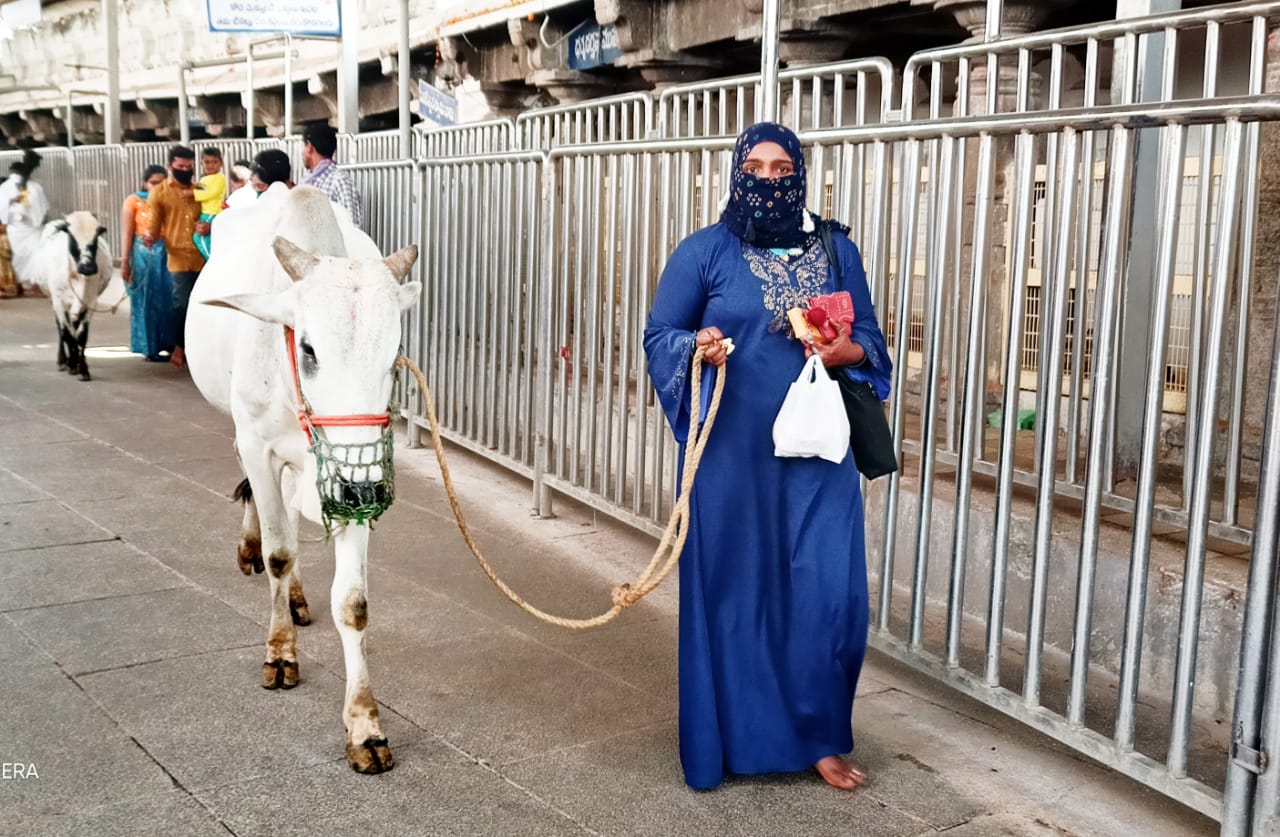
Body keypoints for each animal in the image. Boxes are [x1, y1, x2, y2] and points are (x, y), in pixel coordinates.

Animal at [34, 211, 111, 381]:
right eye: (71, 235)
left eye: (97, 234)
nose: (88, 267)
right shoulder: (58, 301)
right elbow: (66, 333)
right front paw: (71, 364)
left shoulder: (90, 301)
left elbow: (81, 335)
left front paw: (82, 369)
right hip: (54, 300)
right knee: (60, 328)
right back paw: (63, 361)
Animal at [185, 186, 419, 778]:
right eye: (309, 348)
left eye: (393, 356)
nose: (366, 493)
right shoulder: (260, 447)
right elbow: (278, 553)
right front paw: (280, 653)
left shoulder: (352, 479)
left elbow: (353, 602)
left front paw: (365, 727)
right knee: (269, 523)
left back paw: (294, 598)